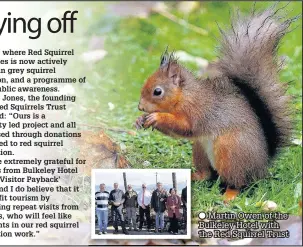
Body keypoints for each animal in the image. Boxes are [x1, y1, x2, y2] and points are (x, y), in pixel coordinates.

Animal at [134, 5, 298, 202]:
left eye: (157, 92)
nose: (140, 107)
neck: (185, 96)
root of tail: (262, 165)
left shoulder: (198, 111)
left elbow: (185, 127)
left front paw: (157, 117)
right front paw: (140, 119)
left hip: (230, 154)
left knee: (238, 183)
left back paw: (229, 196)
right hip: (200, 150)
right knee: (207, 174)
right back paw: (194, 176)